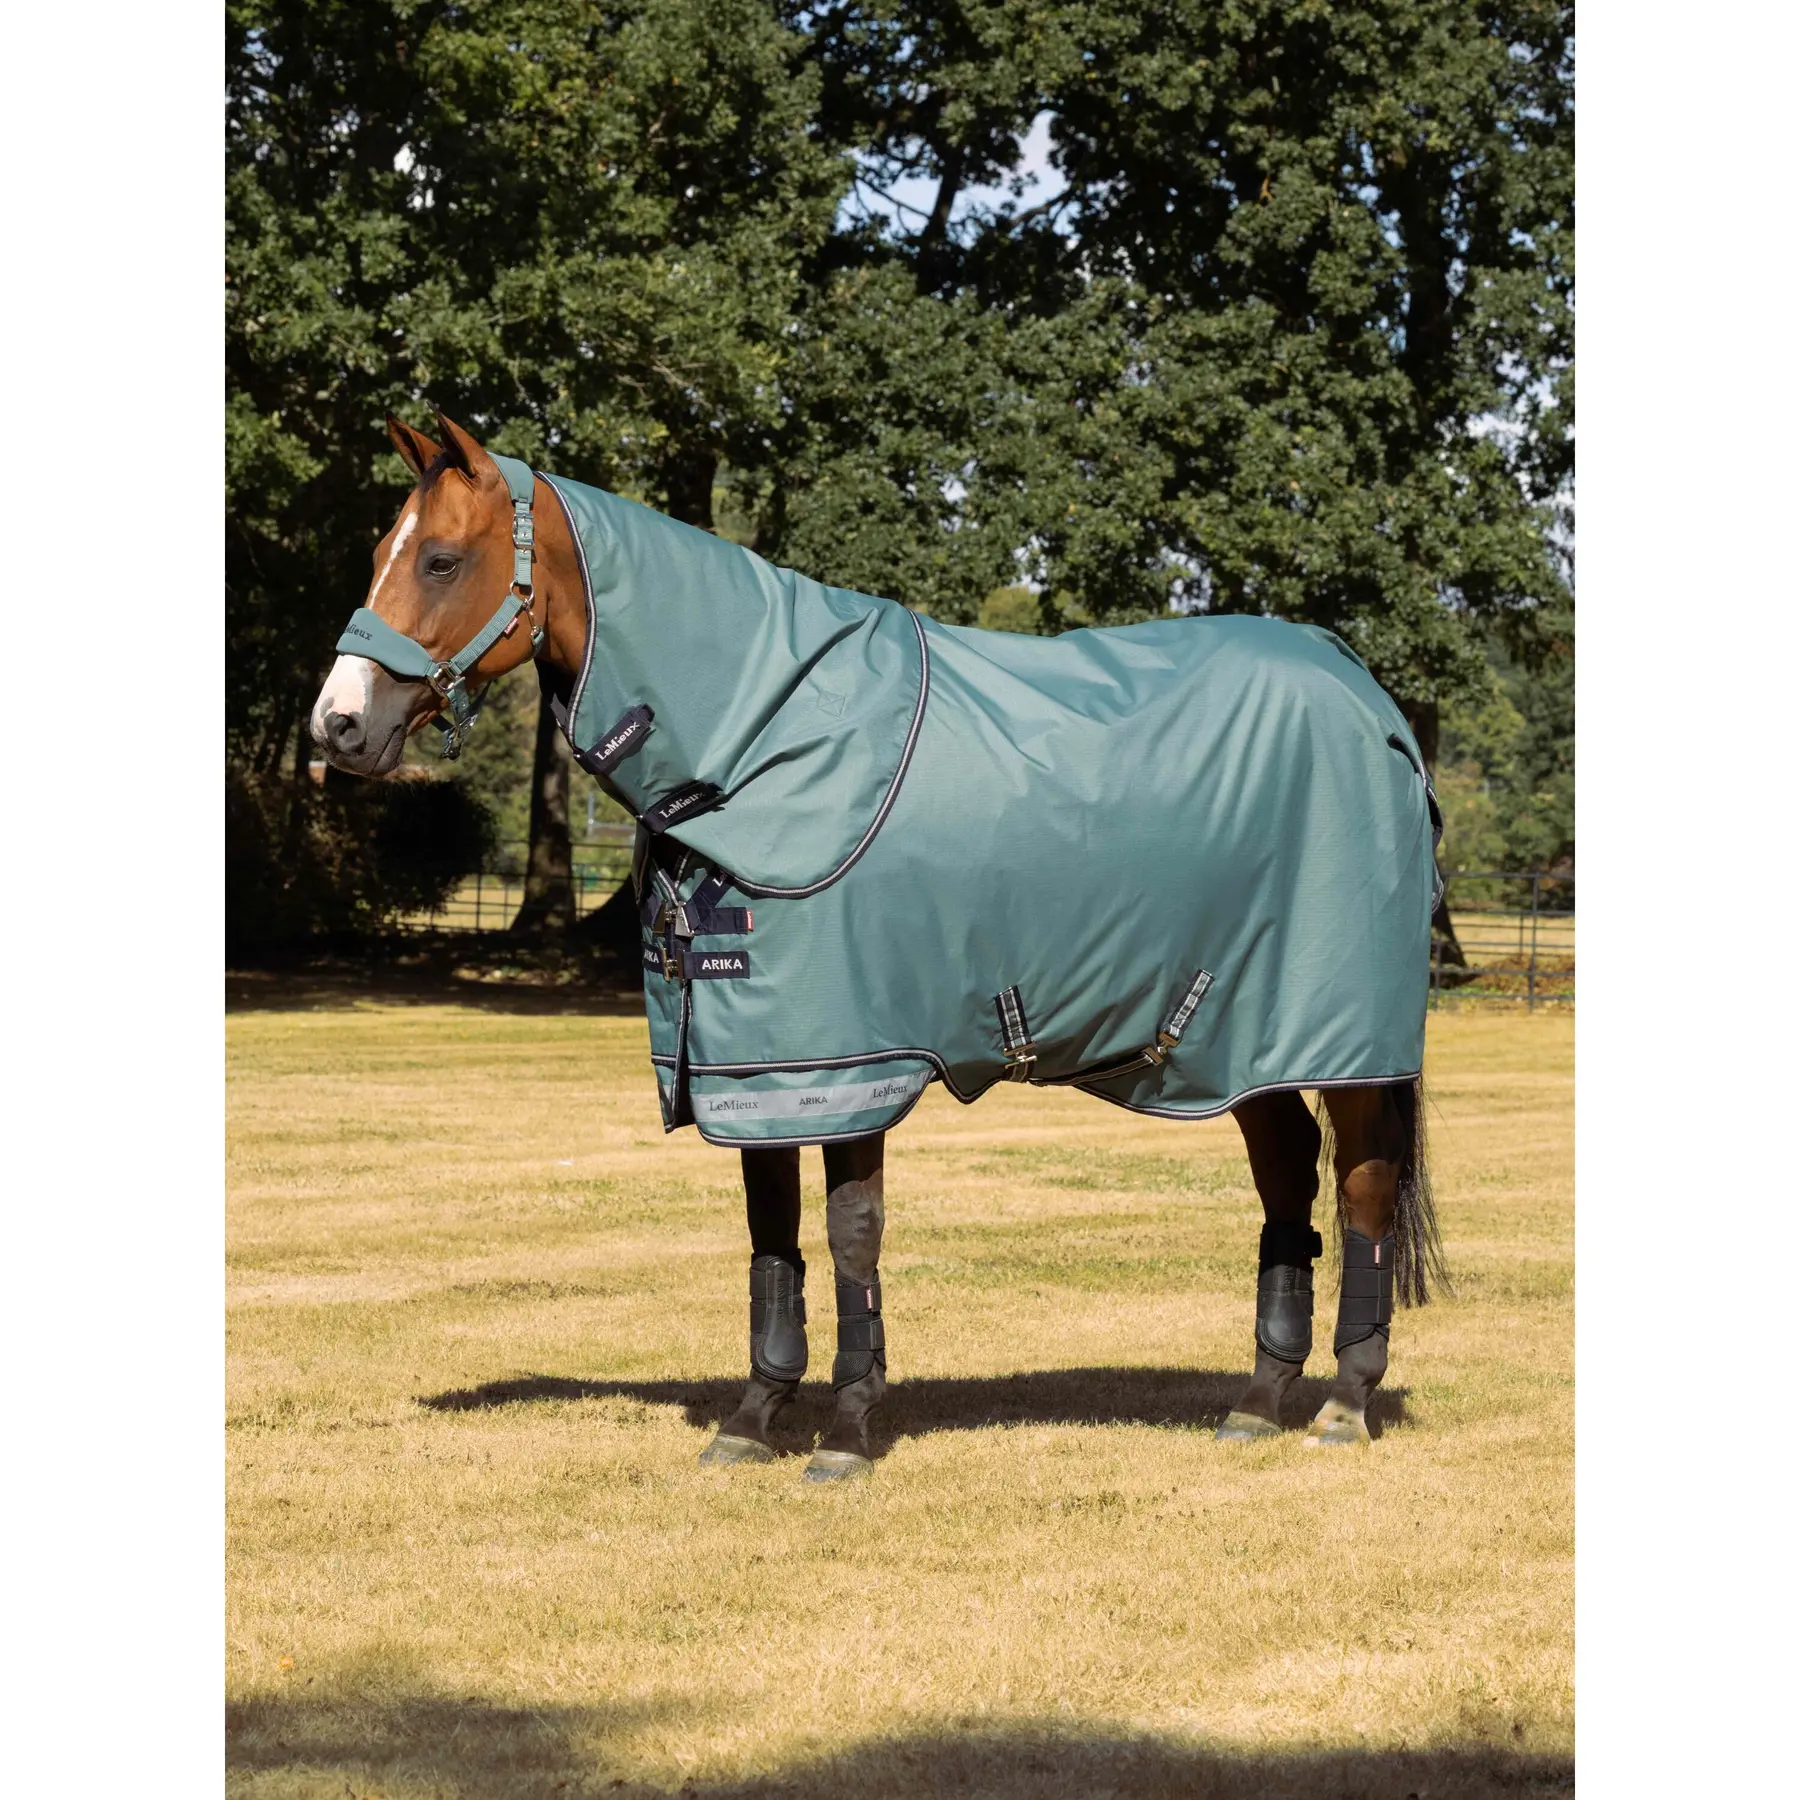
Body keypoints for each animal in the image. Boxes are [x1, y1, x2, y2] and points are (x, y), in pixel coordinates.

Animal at [311, 411, 1446, 1481]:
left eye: (439, 559)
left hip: (1339, 1039)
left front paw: (848, 1432)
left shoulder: (849, 1061)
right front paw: (752, 1420)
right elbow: (772, 1234)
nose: (338, 726)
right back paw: (1256, 1402)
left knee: (1362, 1188)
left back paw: (1344, 1403)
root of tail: (1366, 695)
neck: (764, 743)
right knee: (1288, 1175)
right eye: (375, 551)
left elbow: (849, 1233)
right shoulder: (751, 1067)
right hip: (1242, 1040)